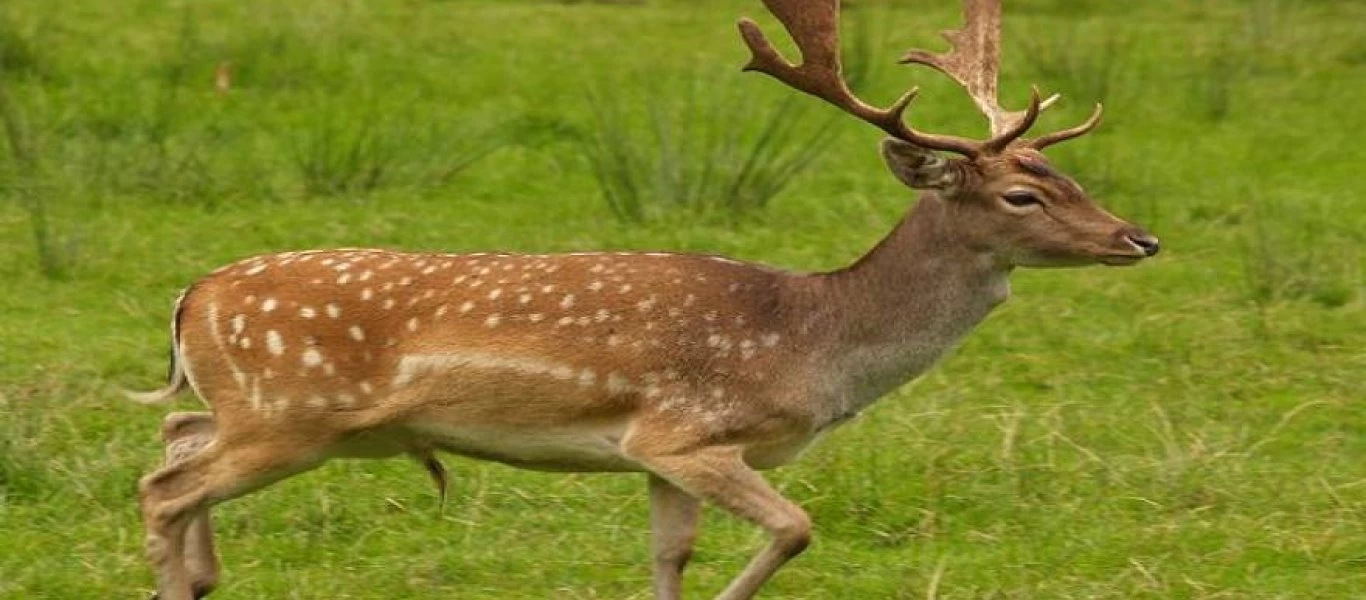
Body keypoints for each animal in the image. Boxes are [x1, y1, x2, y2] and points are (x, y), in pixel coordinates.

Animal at [128, 1, 1158, 600]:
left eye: (1067, 175)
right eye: (1021, 196)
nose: (1140, 239)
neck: (814, 346)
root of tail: (189, 294)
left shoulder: (653, 457)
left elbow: (670, 556)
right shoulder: (686, 432)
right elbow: (795, 528)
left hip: (261, 412)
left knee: (175, 439)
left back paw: (203, 578)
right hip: (290, 414)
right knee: (163, 485)